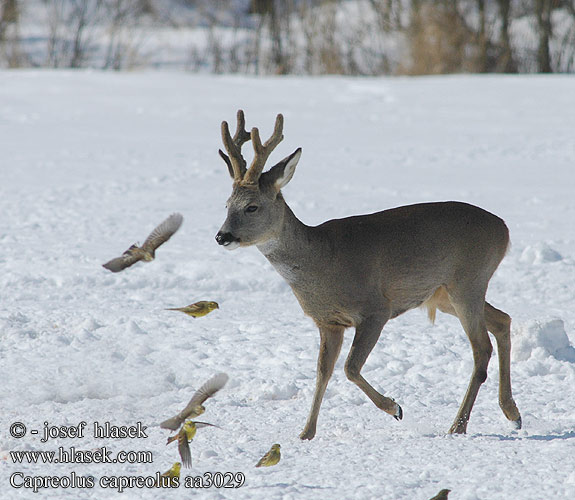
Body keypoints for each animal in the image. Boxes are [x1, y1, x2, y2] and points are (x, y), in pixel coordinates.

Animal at [215, 109, 520, 438]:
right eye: (226, 204)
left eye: (252, 207)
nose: (222, 236)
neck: (321, 261)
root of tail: (504, 229)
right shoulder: (328, 322)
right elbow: (322, 373)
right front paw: (305, 433)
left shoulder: (376, 308)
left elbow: (349, 367)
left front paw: (395, 407)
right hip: (443, 295)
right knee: (502, 321)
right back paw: (512, 413)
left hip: (468, 281)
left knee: (481, 348)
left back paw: (458, 426)